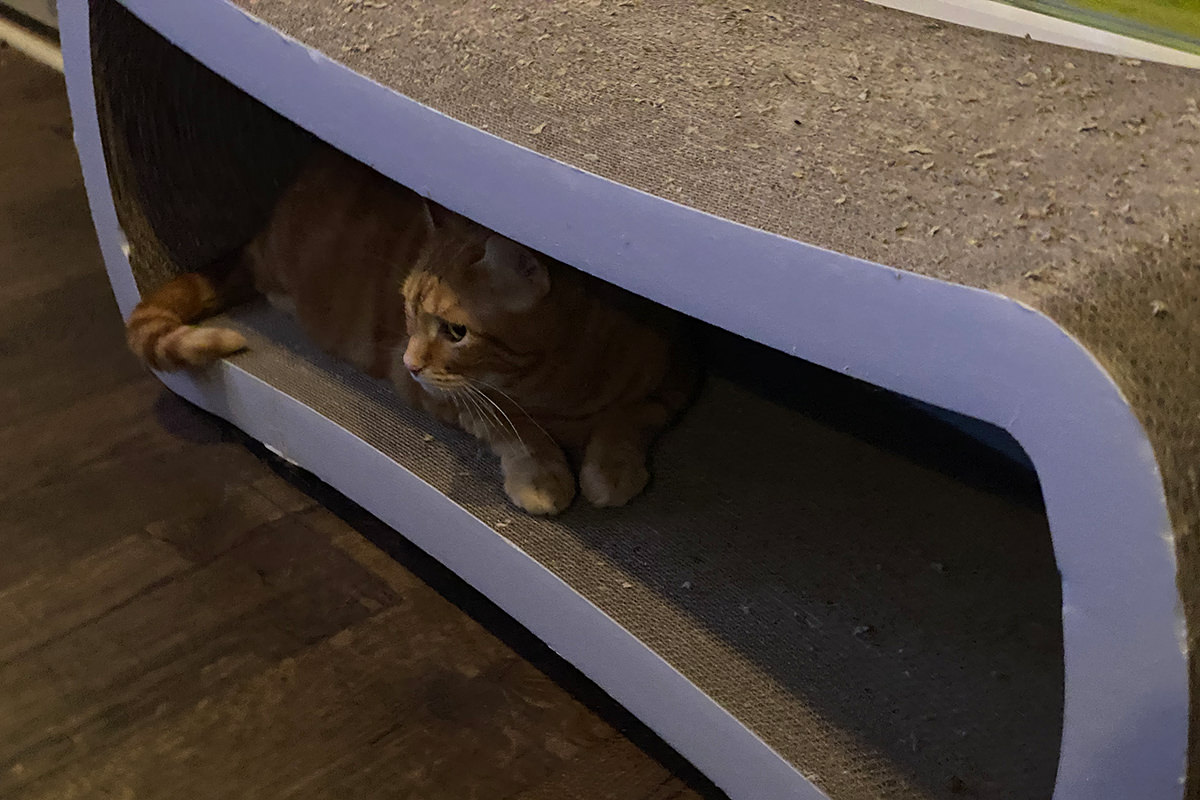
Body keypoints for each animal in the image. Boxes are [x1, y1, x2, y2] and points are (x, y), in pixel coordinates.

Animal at [124, 146, 696, 515]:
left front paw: (613, 469)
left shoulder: (676, 377)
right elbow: (513, 424)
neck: (559, 384)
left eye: (456, 330)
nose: (411, 361)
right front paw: (543, 473)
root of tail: (264, 229)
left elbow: (630, 418)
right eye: (407, 310)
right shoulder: (440, 395)